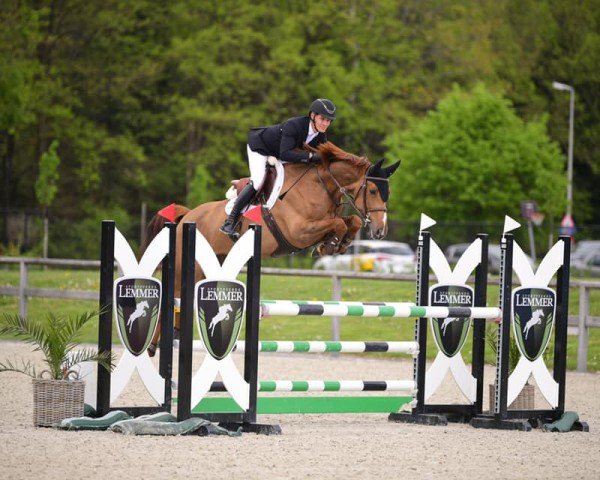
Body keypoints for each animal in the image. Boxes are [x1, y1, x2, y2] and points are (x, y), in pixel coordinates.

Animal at [144, 141, 400, 354]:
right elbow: (338, 223)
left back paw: (175, 337)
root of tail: (186, 217)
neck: (320, 186)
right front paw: (329, 245)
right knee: (172, 297)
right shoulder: (298, 231)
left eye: (388, 194)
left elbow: (350, 221)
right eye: (373, 191)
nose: (380, 231)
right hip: (187, 267)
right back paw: (155, 345)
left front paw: (336, 244)